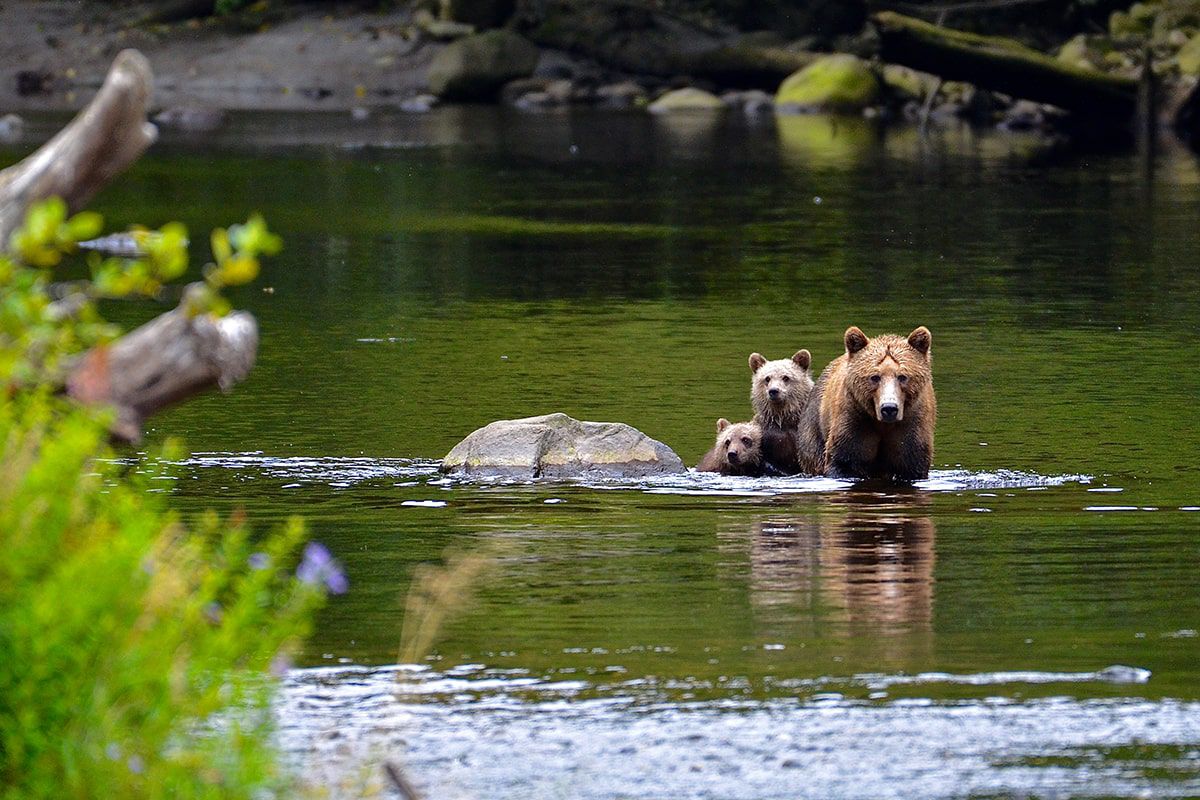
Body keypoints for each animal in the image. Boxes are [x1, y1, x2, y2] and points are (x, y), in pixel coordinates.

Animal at [796, 326, 936, 482]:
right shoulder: (855, 420)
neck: (883, 424)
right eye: (874, 377)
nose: (889, 408)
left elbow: (911, 463)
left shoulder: (912, 424)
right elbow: (843, 461)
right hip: (814, 430)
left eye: (902, 376)